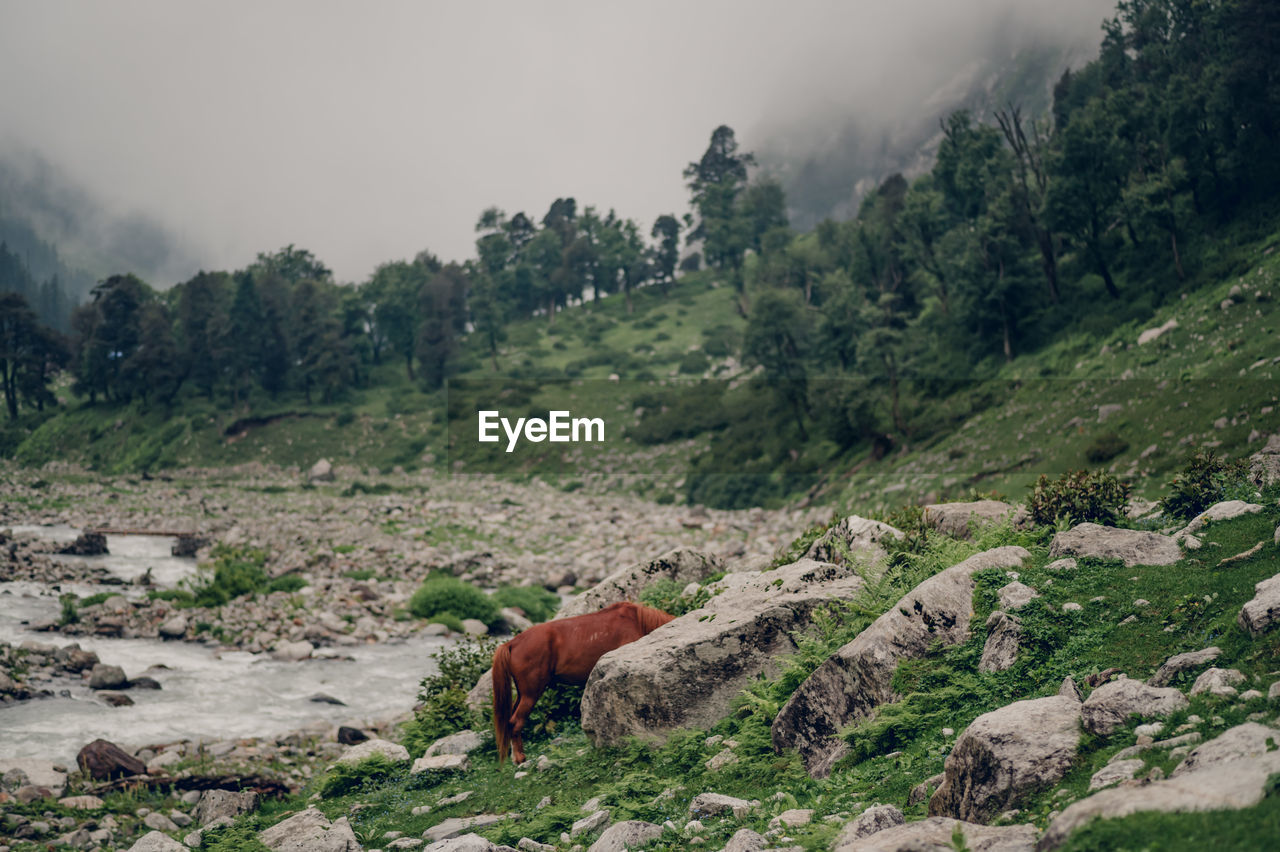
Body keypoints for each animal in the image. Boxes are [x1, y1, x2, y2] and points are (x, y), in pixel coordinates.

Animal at [488, 596, 675, 762]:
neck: (637, 621)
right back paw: (520, 758)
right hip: (531, 694)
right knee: (515, 722)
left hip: (522, 694)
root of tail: (512, 643)